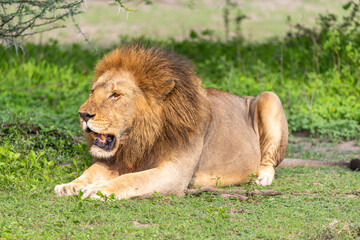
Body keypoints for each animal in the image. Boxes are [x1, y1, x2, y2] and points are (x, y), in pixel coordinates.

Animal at [53, 44, 358, 199]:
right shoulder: (118, 159)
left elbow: (131, 180)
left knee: (270, 160)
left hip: (269, 98)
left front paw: (99, 190)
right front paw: (72, 185)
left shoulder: (173, 173)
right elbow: (92, 170)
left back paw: (262, 176)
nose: (83, 114)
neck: (143, 137)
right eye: (92, 92)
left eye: (115, 95)